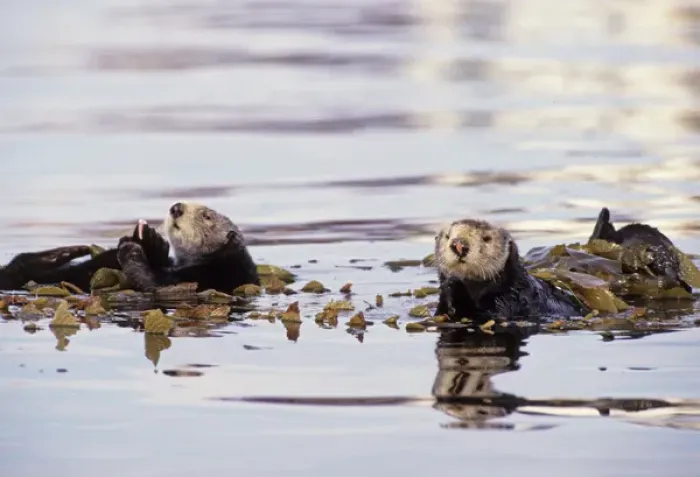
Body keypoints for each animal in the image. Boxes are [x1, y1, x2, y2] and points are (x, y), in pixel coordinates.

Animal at [0, 201, 259, 294]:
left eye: (206, 216)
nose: (176, 207)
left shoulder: (218, 278)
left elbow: (158, 286)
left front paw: (132, 250)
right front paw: (151, 241)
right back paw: (64, 252)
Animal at [434, 218, 588, 323]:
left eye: (486, 238)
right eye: (448, 236)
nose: (459, 245)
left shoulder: (513, 299)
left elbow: (485, 314)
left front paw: (455, 284)